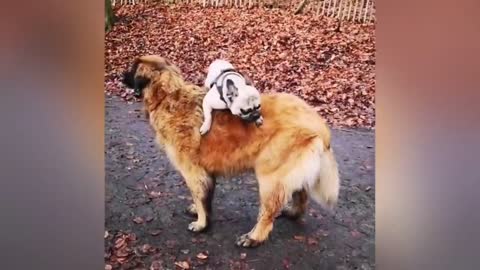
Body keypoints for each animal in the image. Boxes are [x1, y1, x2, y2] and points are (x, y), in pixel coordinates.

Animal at [124, 56, 342, 248]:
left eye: (132, 69)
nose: (120, 75)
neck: (168, 97)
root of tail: (318, 122)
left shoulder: (193, 172)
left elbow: (199, 197)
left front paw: (201, 224)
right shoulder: (206, 172)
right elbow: (204, 197)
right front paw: (198, 211)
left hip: (270, 176)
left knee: (268, 212)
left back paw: (254, 237)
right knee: (301, 192)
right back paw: (292, 212)